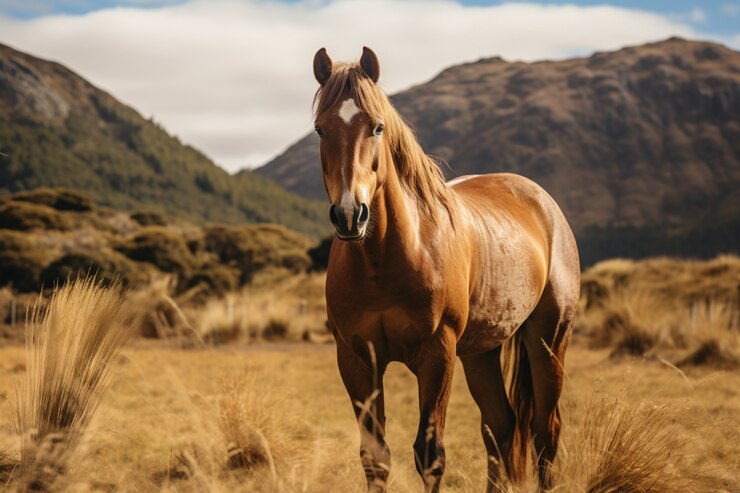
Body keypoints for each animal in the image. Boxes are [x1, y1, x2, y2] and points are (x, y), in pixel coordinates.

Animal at [313, 47, 580, 493]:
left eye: (377, 127)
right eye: (319, 129)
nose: (350, 215)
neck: (386, 259)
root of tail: (544, 202)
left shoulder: (437, 354)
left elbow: (429, 456)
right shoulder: (355, 359)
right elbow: (375, 457)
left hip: (548, 339)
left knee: (546, 431)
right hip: (481, 352)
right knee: (501, 427)